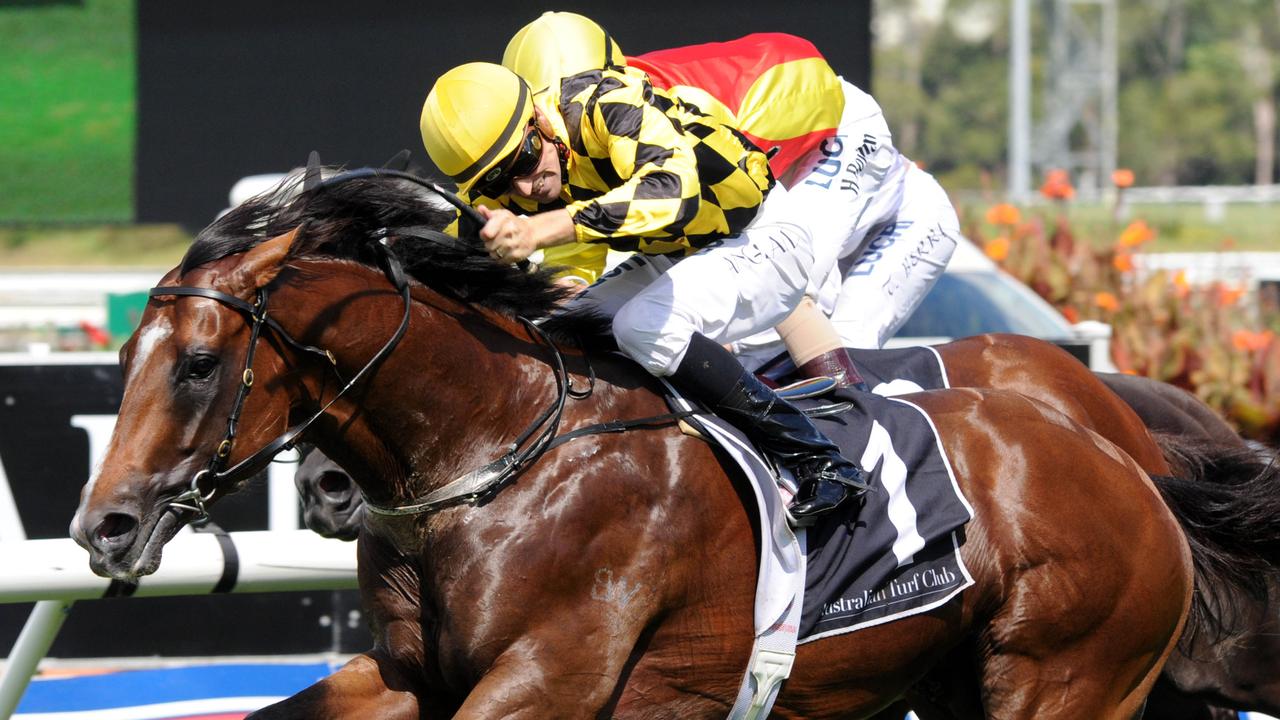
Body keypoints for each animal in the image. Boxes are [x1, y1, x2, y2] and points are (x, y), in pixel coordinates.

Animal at [72, 175, 1269, 717]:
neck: (489, 457)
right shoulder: (408, 674)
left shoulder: (553, 676)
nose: (105, 526)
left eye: (196, 364)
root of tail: (1132, 467)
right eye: (124, 350)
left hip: (1061, 678)